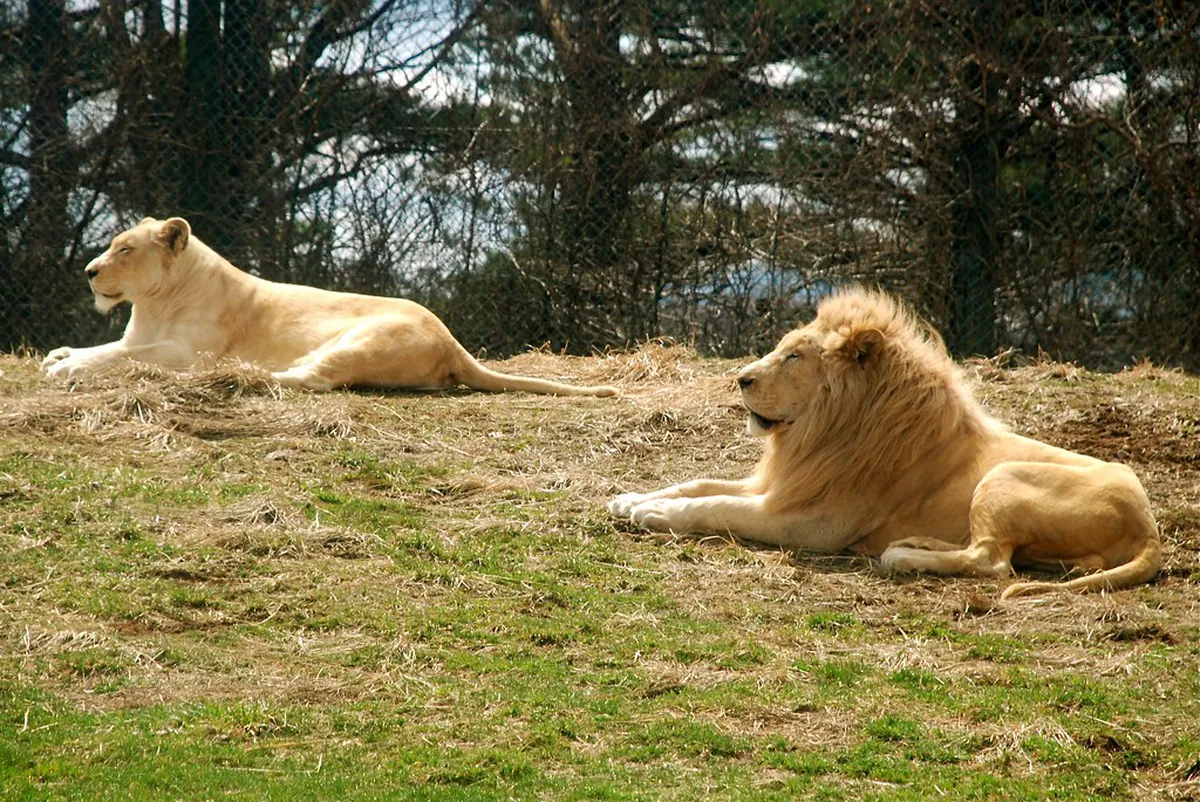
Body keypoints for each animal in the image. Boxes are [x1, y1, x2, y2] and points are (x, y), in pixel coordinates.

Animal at [41, 217, 618, 397]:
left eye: (125, 249)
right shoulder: (138, 333)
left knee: (311, 379)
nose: (89, 271)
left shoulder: (186, 351)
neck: (153, 303)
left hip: (361, 341)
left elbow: (120, 356)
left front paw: (66, 368)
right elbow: (107, 346)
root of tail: (453, 341)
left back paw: (245, 375)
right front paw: (60, 353)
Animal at [608, 288, 1161, 598]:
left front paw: (656, 515)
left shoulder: (814, 523)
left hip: (1000, 476)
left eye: (794, 357)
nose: (740, 378)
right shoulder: (784, 484)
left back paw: (902, 558)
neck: (819, 434)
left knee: (992, 561)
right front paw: (630, 499)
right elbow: (698, 483)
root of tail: (1150, 528)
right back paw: (915, 544)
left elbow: (718, 506)